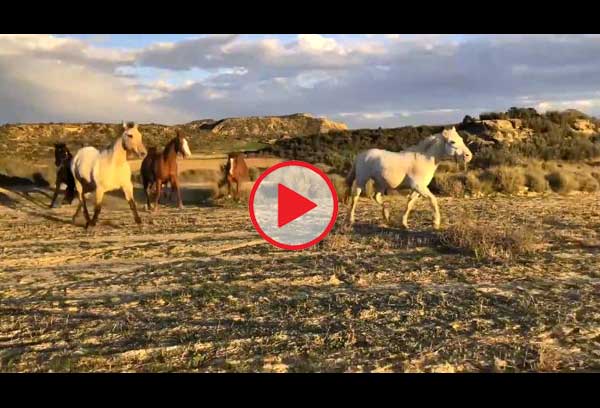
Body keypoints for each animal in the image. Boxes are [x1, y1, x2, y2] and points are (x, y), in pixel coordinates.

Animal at [346, 126, 474, 230]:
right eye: (452, 141)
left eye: (461, 139)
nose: (469, 156)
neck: (424, 159)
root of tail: (361, 155)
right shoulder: (418, 186)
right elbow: (433, 200)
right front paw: (436, 223)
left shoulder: (418, 189)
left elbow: (409, 204)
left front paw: (404, 224)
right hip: (362, 180)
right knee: (355, 197)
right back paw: (351, 220)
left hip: (381, 183)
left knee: (376, 197)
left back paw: (387, 216)